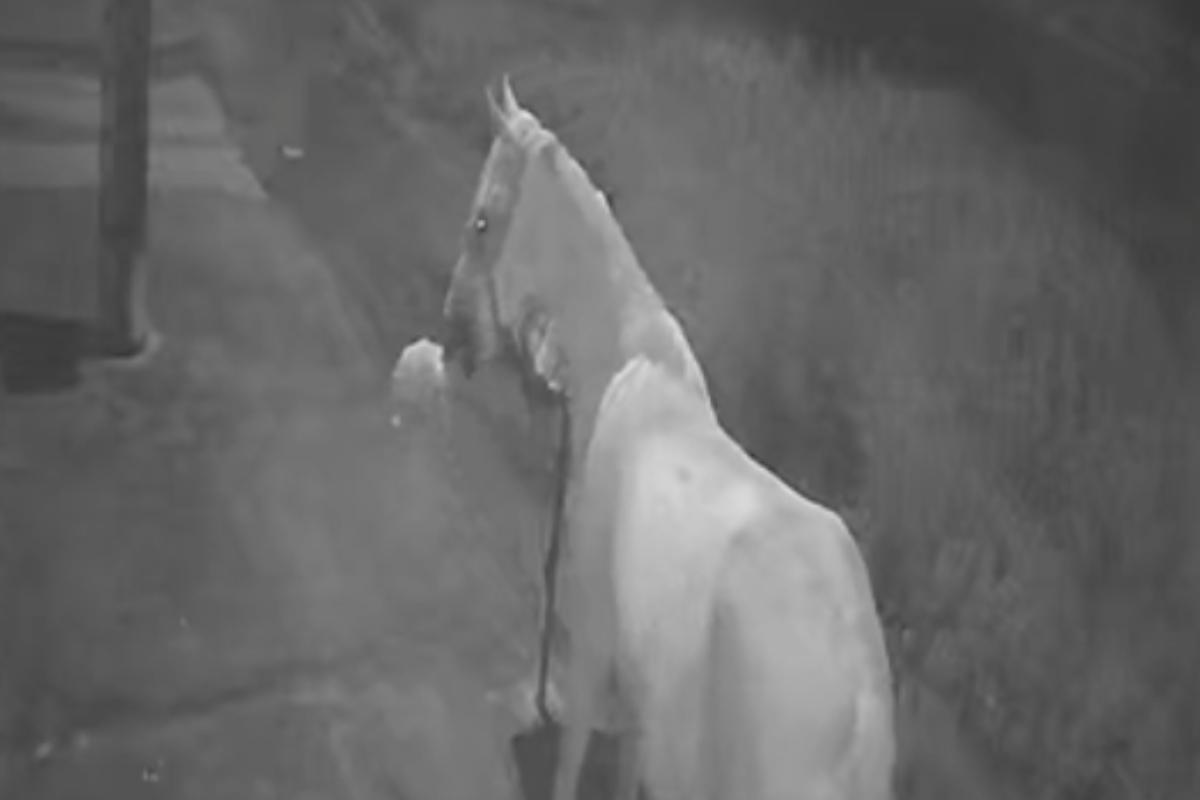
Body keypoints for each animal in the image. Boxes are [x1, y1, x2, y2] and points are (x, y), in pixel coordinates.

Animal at [441, 76, 896, 800]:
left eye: (483, 221)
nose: (454, 332)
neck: (621, 364)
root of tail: (858, 713)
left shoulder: (594, 637)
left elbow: (573, 754)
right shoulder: (641, 685)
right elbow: (630, 759)